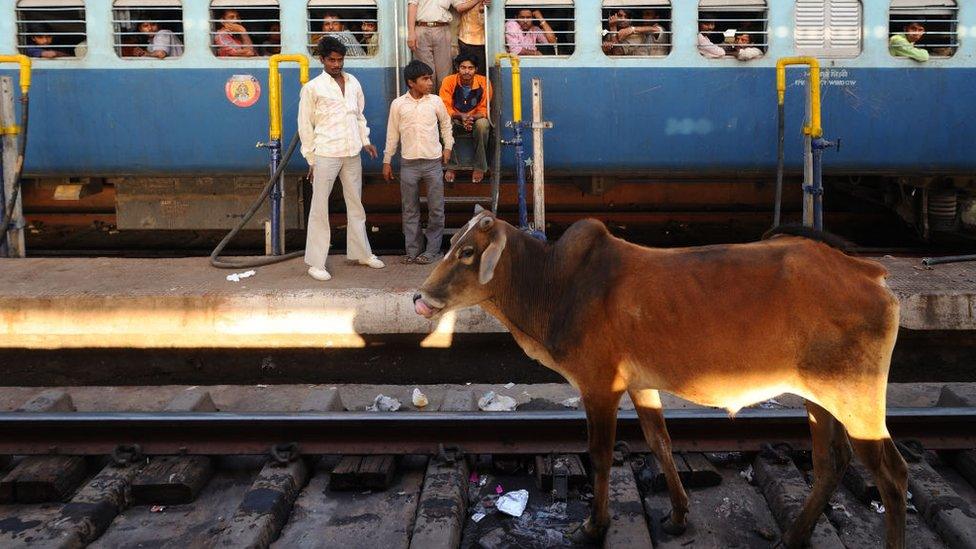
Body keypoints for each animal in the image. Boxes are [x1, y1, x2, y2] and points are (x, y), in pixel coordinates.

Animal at [414, 209, 908, 544]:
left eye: (468, 252)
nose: (419, 297)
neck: (554, 284)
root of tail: (868, 271)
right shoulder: (641, 384)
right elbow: (660, 442)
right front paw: (677, 514)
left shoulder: (599, 386)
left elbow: (599, 455)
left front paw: (594, 525)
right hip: (820, 397)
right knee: (831, 462)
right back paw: (795, 534)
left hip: (856, 398)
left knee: (892, 475)